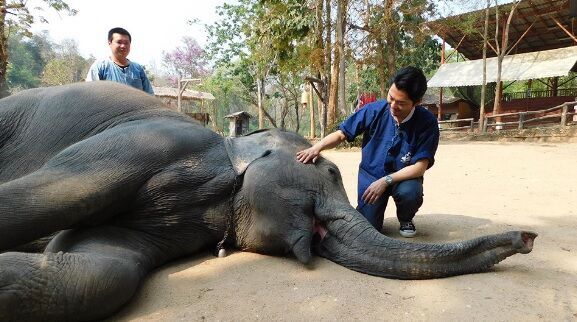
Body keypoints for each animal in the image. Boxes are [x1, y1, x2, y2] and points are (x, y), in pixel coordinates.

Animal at [0, 82, 536, 322]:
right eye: (332, 172)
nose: (528, 236)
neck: (229, 153)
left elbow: (106, 268)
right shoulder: (145, 142)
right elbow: (57, 192)